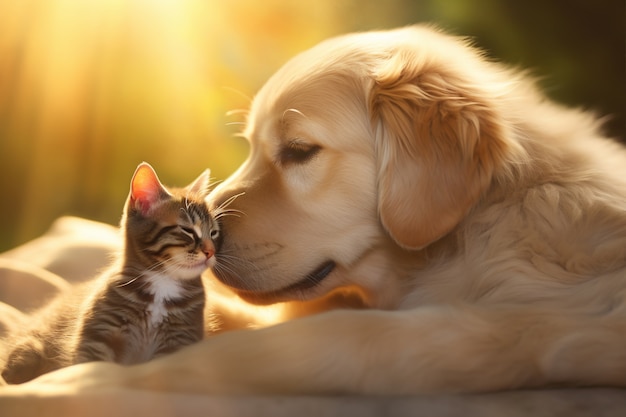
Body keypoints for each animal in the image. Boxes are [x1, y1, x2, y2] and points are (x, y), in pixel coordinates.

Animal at [1, 162, 219, 384]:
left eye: (213, 233)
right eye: (188, 230)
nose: (211, 252)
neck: (163, 282)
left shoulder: (179, 341)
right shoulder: (98, 334)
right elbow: (90, 366)